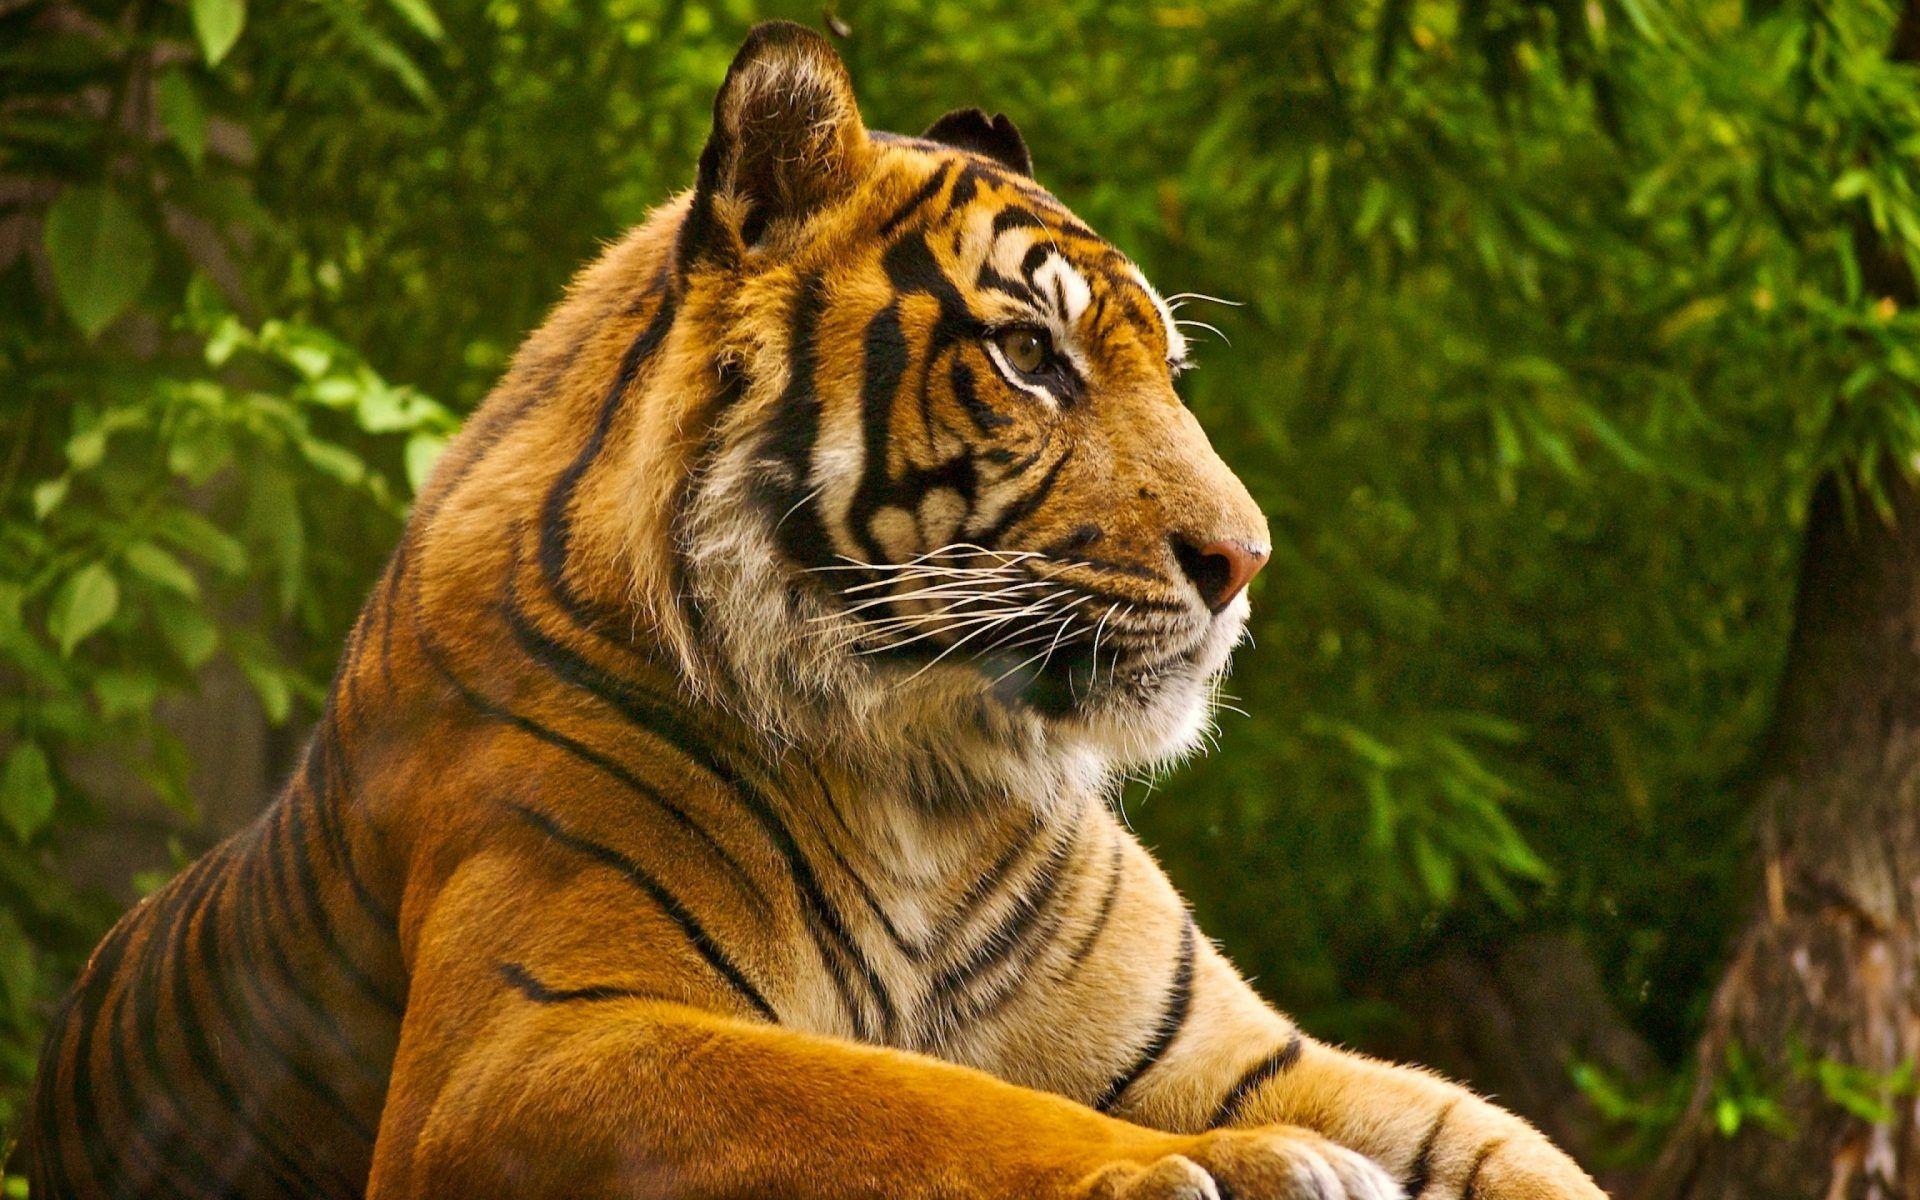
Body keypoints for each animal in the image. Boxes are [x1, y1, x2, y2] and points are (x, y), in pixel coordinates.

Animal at [21, 21, 1608, 1200]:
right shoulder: (530, 1040)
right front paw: (1230, 1166)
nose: (1246, 560)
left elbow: (1512, 1146)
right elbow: (912, 1103)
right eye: (1030, 357)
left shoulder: (1247, 1050)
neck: (929, 777)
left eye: (1166, 368)